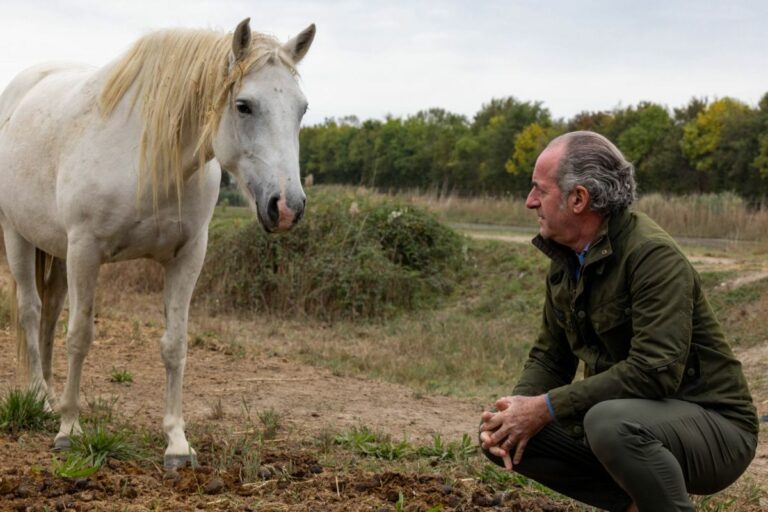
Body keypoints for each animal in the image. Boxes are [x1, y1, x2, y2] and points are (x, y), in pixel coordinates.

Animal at [0, 18, 315, 468]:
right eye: (244, 106)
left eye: (301, 109)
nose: (287, 207)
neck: (148, 157)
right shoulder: (85, 251)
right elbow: (80, 336)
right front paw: (69, 429)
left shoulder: (188, 257)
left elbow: (174, 345)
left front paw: (177, 442)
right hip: (18, 235)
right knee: (30, 310)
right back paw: (41, 399)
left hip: (55, 249)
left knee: (50, 312)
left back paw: (48, 394)